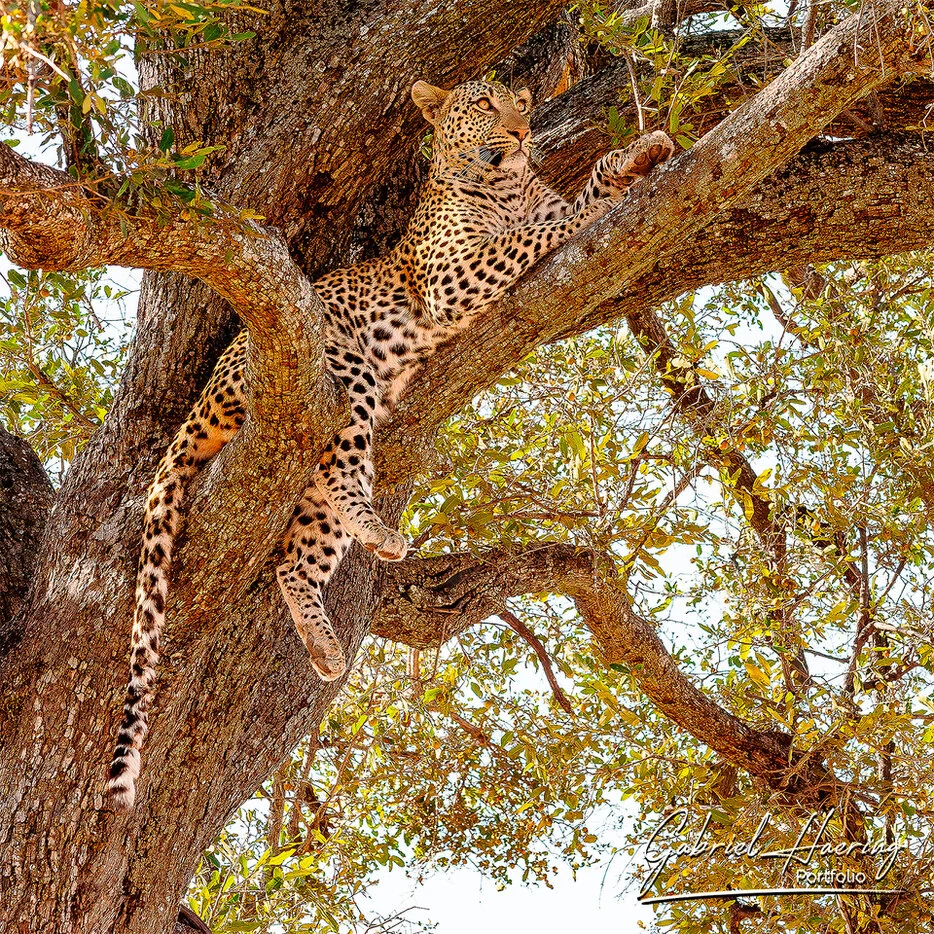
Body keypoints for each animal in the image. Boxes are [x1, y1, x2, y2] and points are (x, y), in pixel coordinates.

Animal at [107, 77, 674, 811]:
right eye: (485, 106)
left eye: (522, 104)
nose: (523, 133)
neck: (505, 182)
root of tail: (208, 387)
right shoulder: (451, 275)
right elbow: (543, 229)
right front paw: (596, 200)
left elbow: (578, 193)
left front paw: (643, 151)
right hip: (339, 370)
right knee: (343, 467)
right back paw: (378, 531)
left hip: (309, 471)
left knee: (299, 552)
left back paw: (326, 643)